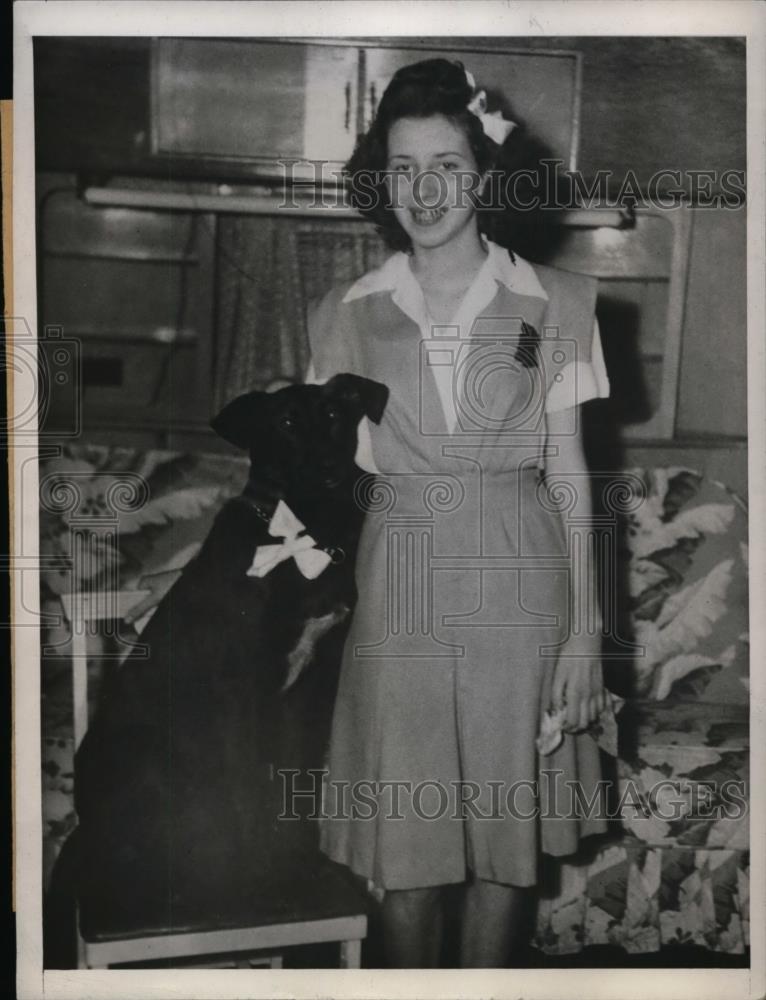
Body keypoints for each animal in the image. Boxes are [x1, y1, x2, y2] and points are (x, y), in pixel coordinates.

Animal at [53, 374, 388, 936]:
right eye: (287, 422)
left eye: (335, 414)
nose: (333, 470)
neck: (299, 540)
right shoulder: (243, 693)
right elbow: (246, 791)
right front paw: (254, 878)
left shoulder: (312, 694)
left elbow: (296, 789)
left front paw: (297, 863)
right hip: (149, 758)